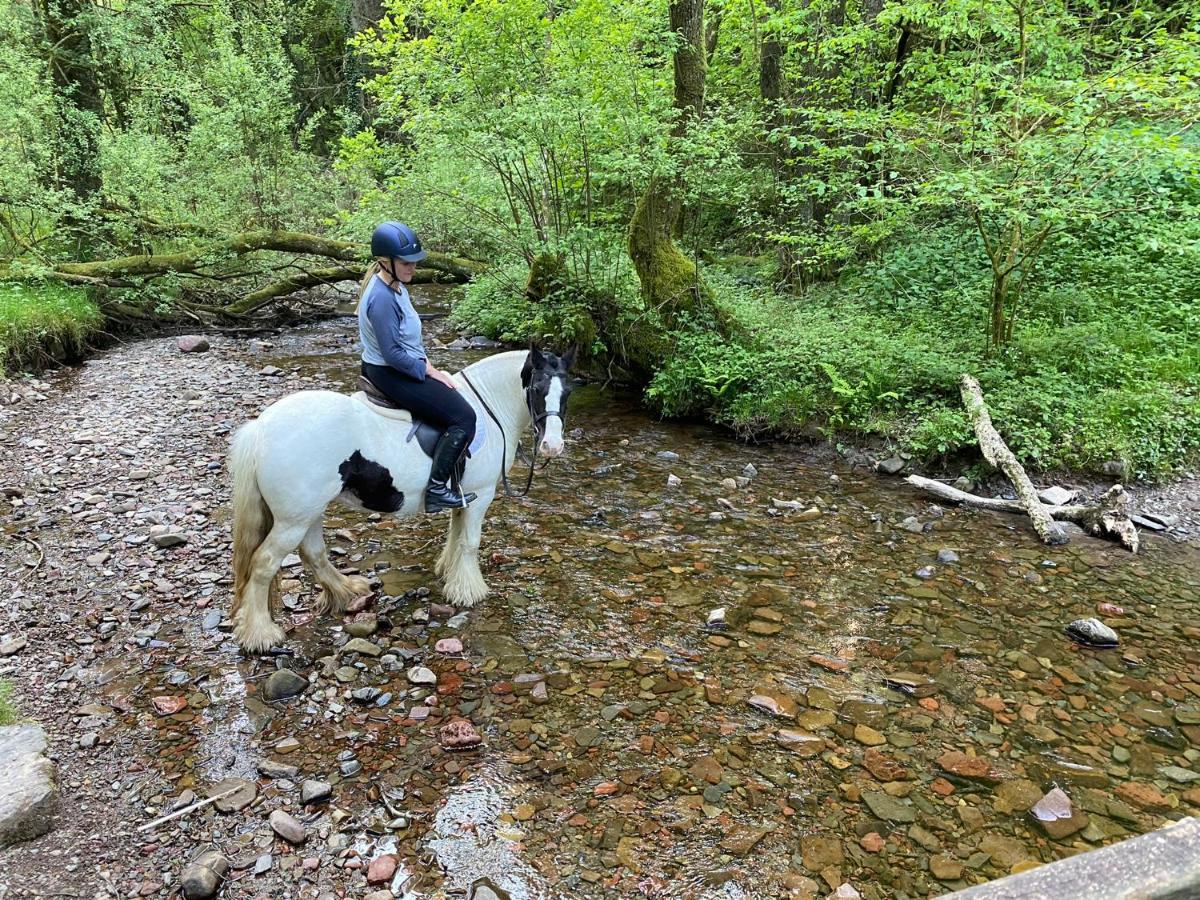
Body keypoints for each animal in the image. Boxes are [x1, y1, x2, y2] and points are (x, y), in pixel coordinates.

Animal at [230, 348, 580, 657]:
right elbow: (469, 542)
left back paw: (347, 591)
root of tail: (261, 429)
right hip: (293, 519)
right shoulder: (481, 494)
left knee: (313, 553)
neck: (489, 407)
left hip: (309, 511)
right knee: (264, 564)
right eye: (537, 389)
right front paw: (469, 592)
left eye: (568, 391)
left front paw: (449, 573)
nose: (552, 446)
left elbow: (455, 535)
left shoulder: (464, 494)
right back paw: (261, 635)